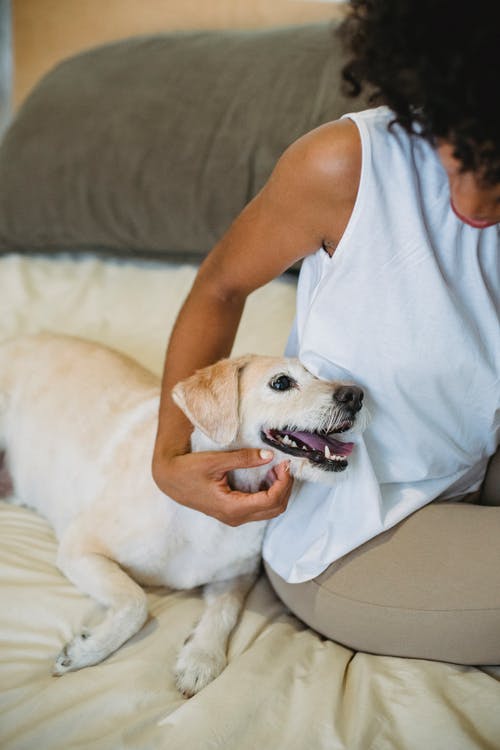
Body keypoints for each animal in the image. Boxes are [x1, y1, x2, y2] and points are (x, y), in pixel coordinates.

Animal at [0, 334, 368, 700]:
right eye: (281, 382)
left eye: (319, 374)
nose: (356, 395)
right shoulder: (80, 547)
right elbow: (136, 602)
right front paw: (85, 651)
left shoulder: (236, 577)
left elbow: (224, 612)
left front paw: (200, 659)